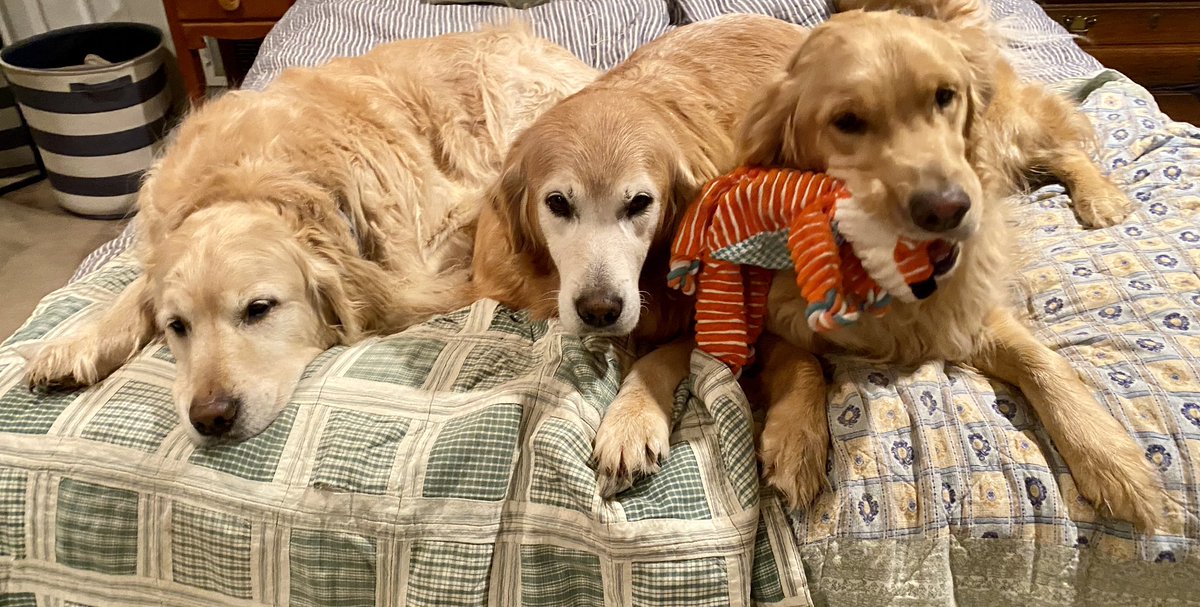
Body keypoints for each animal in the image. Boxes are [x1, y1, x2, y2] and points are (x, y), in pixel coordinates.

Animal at [23, 24, 595, 441]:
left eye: (259, 309)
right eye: (175, 327)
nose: (210, 418)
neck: (259, 181)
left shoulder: (449, 221)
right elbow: (131, 291)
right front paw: (74, 344)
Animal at [734, 0, 1166, 527]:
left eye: (945, 96)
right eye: (847, 120)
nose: (947, 209)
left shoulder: (969, 313)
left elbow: (1043, 362)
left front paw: (1107, 454)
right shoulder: (773, 317)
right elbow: (798, 361)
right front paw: (797, 439)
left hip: (1011, 134)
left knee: (1066, 153)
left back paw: (1100, 197)